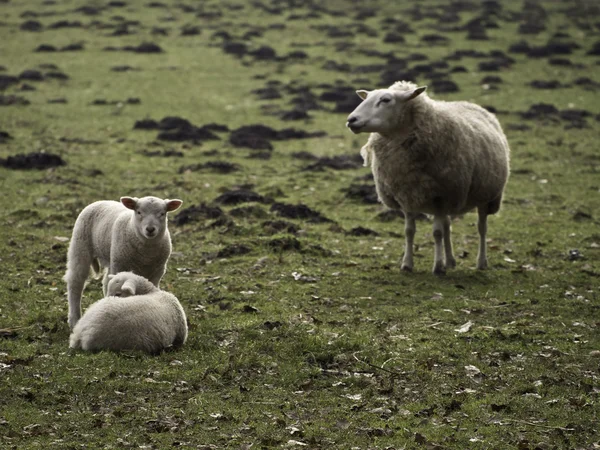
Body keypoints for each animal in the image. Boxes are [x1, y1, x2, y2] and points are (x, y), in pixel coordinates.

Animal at [64, 195, 183, 328]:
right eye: (139, 212)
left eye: (162, 213)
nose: (150, 229)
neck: (146, 253)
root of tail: (101, 201)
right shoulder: (119, 265)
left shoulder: (157, 272)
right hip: (80, 246)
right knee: (76, 282)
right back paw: (74, 320)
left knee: (103, 281)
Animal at [346, 82, 510, 276]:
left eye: (386, 100)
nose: (351, 120)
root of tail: (473, 105)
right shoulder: (406, 195)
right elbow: (409, 231)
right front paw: (407, 264)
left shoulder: (440, 196)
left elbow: (437, 233)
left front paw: (437, 266)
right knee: (447, 225)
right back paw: (450, 261)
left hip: (486, 195)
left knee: (481, 227)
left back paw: (481, 262)